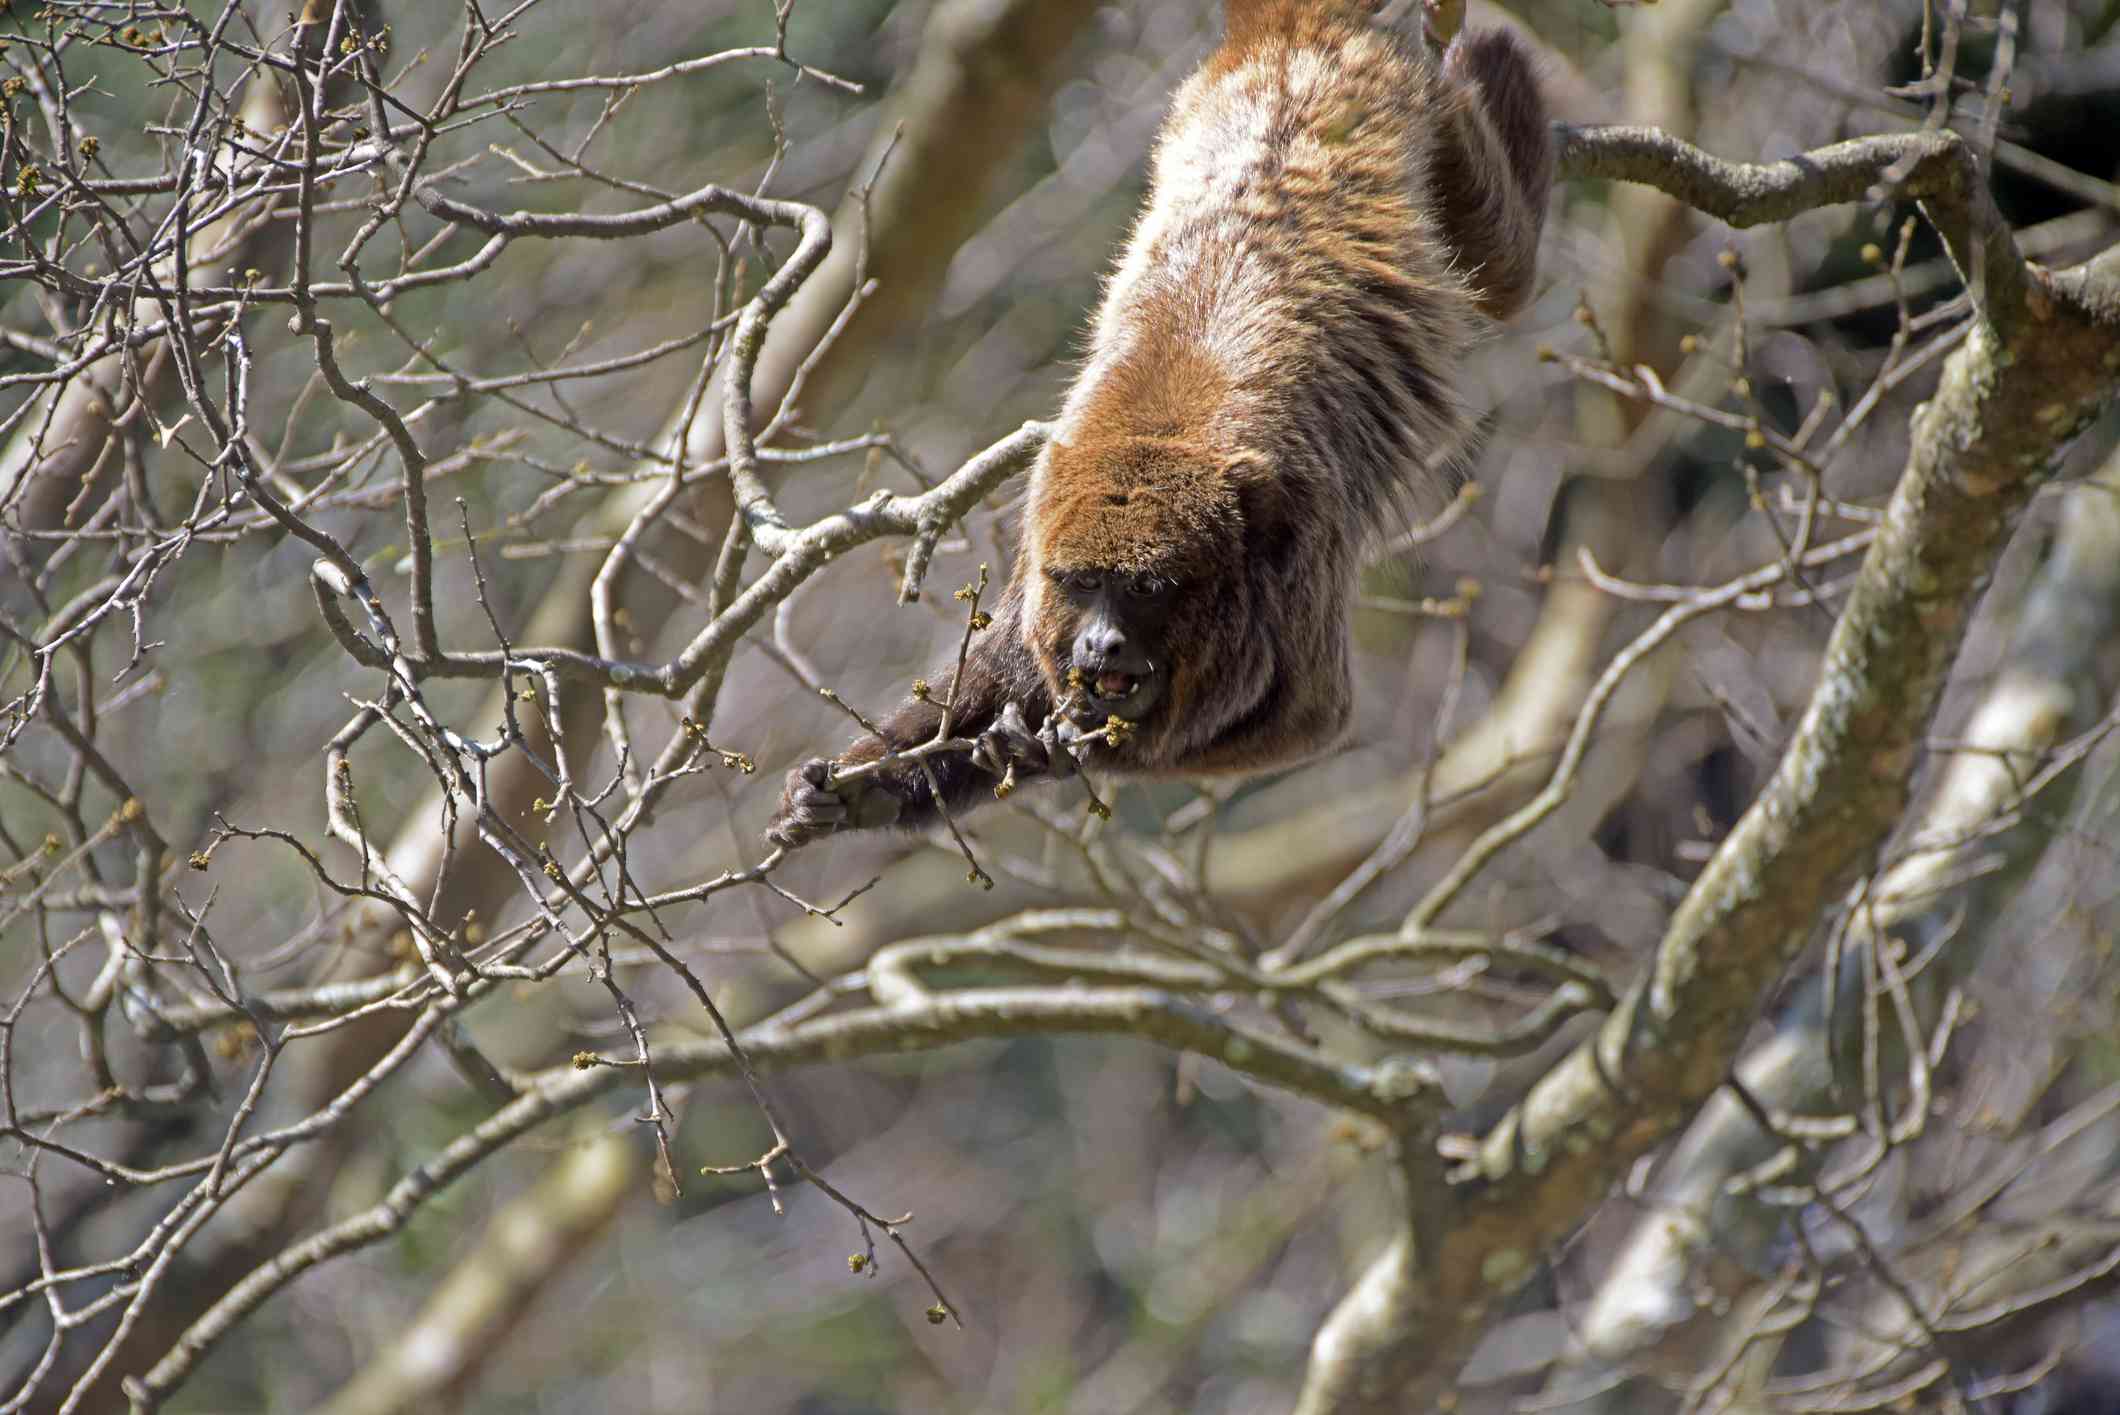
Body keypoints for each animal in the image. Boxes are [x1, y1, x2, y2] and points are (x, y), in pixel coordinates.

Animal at [771, 0, 1551, 848]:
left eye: (1147, 588)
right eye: (1083, 584)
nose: (1101, 641)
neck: (1155, 439)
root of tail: (1293, 45)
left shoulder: (1296, 527)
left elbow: (1313, 715)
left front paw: (1052, 754)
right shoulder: (1044, 511)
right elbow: (1005, 662)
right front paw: (864, 791)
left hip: (1428, 127)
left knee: (1502, 264)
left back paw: (1492, 61)